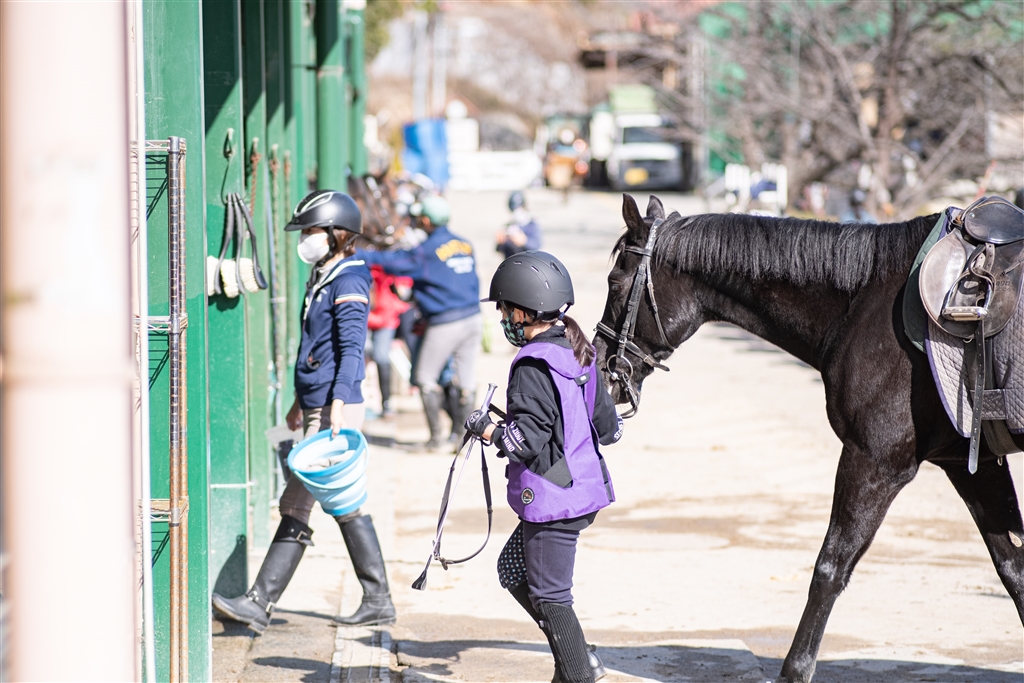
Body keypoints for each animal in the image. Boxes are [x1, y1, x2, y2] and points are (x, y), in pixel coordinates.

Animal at [593, 193, 1024, 683]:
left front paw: (795, 669)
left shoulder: (874, 462)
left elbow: (830, 566)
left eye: (614, 282)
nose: (601, 363)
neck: (869, 300)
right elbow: (1013, 568)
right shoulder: (971, 463)